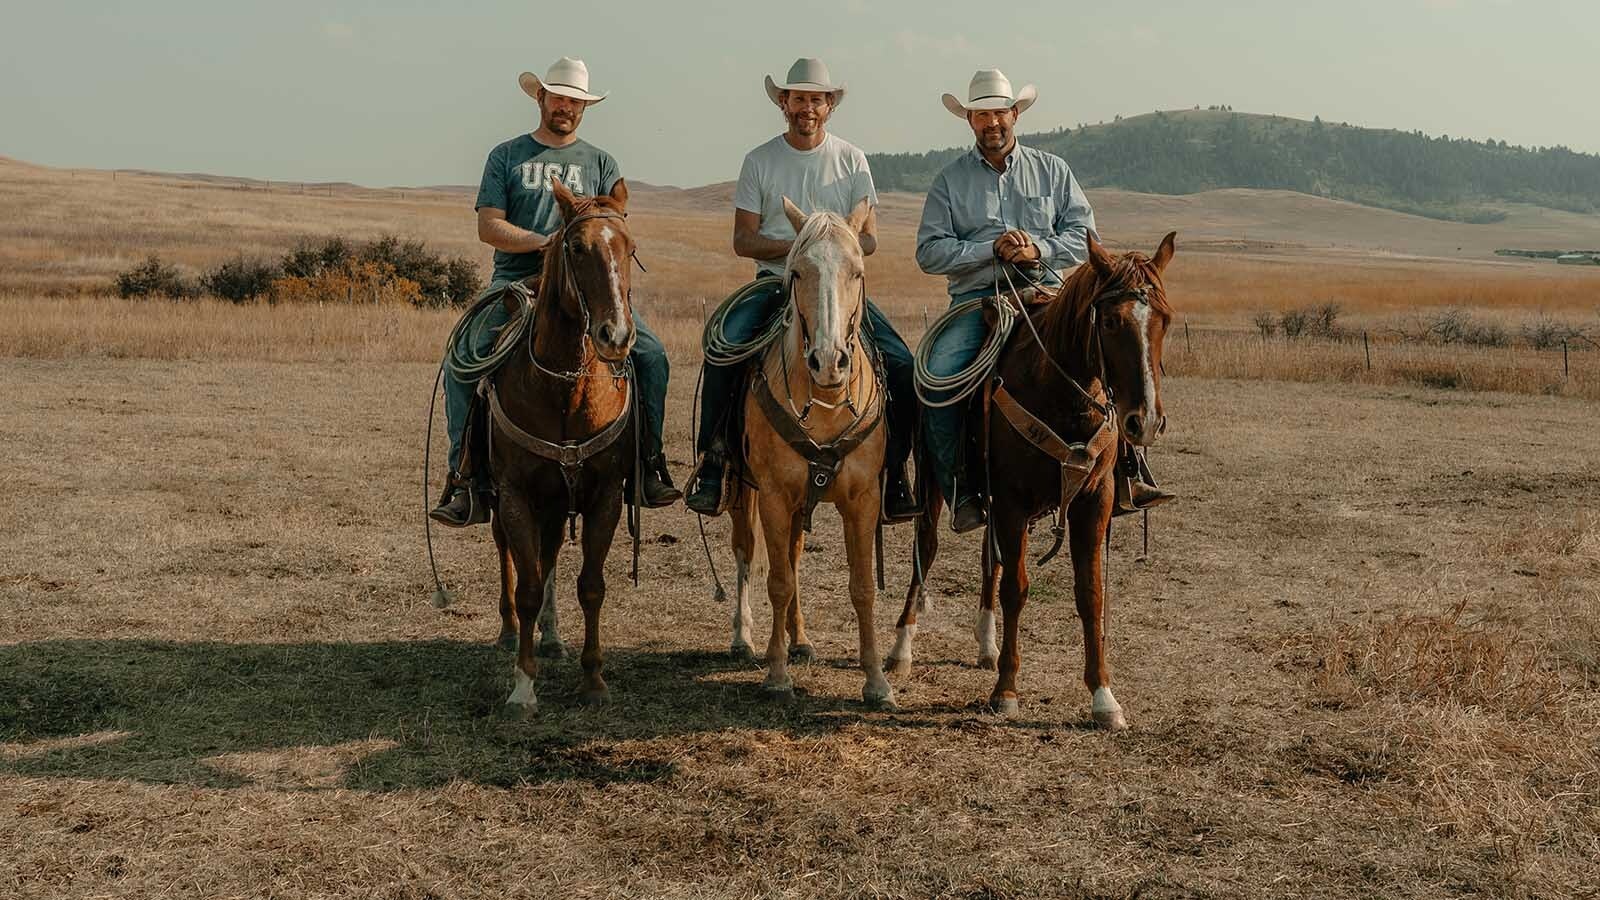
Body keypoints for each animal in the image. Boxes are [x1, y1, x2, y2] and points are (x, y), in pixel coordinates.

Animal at [489, 176, 640, 714]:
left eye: (629, 247)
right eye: (576, 248)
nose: (615, 335)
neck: (566, 388)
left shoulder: (605, 495)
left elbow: (590, 586)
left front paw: (594, 679)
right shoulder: (514, 495)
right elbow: (528, 587)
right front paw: (522, 686)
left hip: (556, 503)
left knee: (550, 553)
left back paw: (553, 638)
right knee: (510, 555)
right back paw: (510, 632)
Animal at [729, 196, 902, 707]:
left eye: (857, 271)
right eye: (797, 273)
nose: (829, 362)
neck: (825, 402)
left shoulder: (862, 499)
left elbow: (862, 587)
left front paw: (877, 682)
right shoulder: (773, 494)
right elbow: (778, 581)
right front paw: (776, 675)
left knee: (794, 552)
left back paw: (800, 639)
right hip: (741, 490)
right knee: (746, 550)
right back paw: (743, 639)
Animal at [889, 232, 1177, 730]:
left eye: (1165, 319)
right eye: (1111, 322)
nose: (1144, 423)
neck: (1061, 396)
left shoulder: (1094, 501)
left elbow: (1090, 593)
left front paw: (1104, 697)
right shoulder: (1011, 501)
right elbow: (1017, 589)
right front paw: (1005, 690)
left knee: (990, 559)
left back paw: (986, 645)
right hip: (934, 486)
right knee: (926, 550)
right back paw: (901, 650)